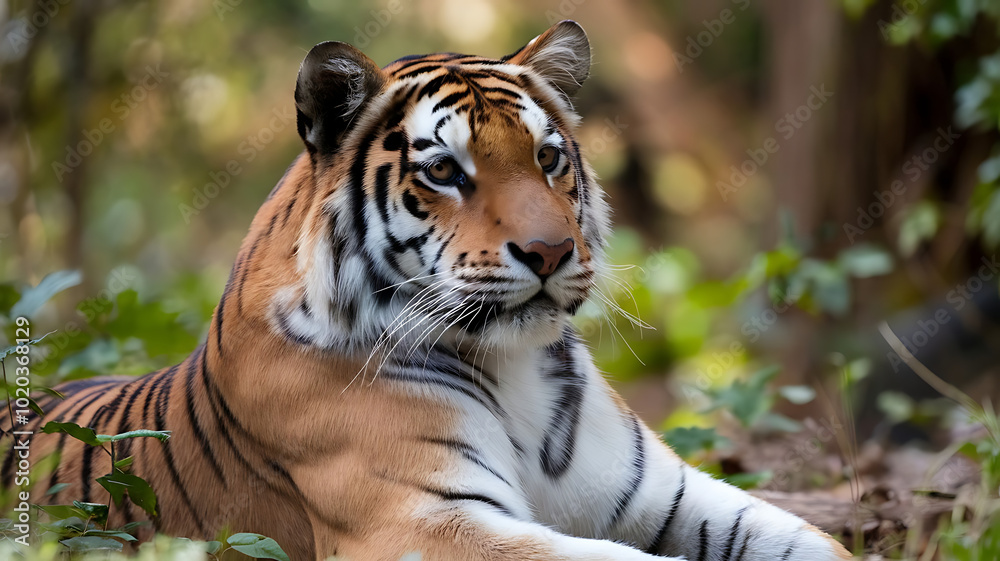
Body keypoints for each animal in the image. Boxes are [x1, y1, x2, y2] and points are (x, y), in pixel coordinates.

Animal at [3, 20, 853, 561]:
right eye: (445, 170)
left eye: (548, 157)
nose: (551, 251)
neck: (514, 366)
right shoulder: (422, 521)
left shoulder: (662, 496)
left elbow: (814, 540)